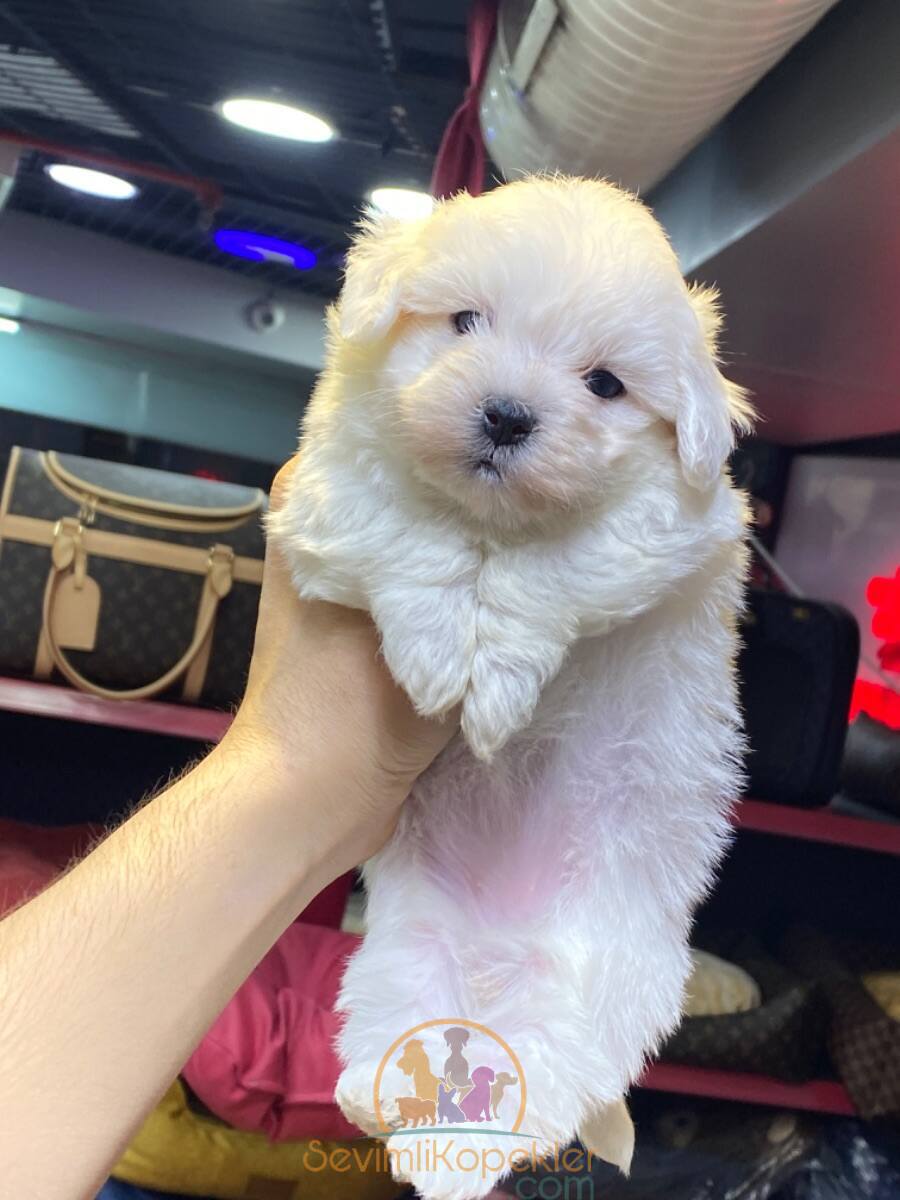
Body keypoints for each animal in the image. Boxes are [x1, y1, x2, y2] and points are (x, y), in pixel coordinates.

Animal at [273, 174, 753, 1195]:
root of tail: (490, 972)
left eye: (604, 384)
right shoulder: (332, 488)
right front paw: (434, 651)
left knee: (550, 1093)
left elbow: (553, 566)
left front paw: (492, 679)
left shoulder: (675, 531)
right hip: (400, 967)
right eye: (465, 321)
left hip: (595, 994)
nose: (506, 414)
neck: (490, 515)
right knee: (410, 1066)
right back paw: (373, 1104)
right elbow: (409, 534)